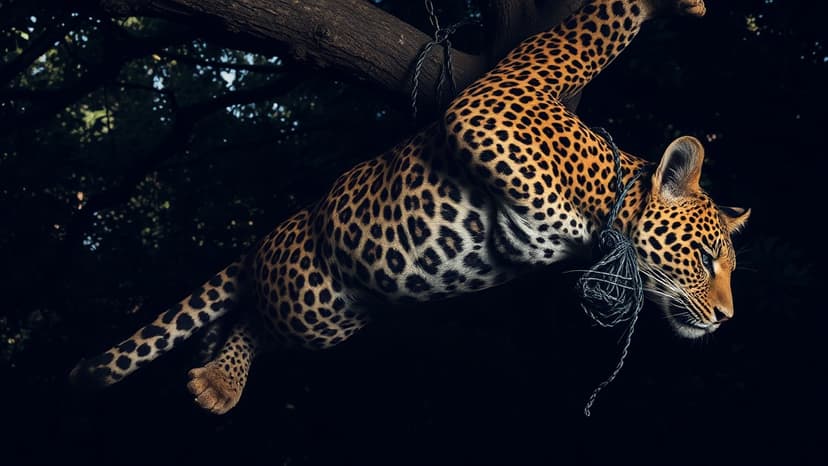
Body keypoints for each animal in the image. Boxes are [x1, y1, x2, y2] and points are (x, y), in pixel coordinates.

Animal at [70, 0, 750, 415]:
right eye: (706, 257)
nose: (727, 319)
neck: (604, 190)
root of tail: (274, 233)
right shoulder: (498, 99)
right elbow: (586, 39)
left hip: (328, 319)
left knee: (243, 320)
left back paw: (213, 367)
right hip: (311, 299)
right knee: (253, 320)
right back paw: (218, 380)